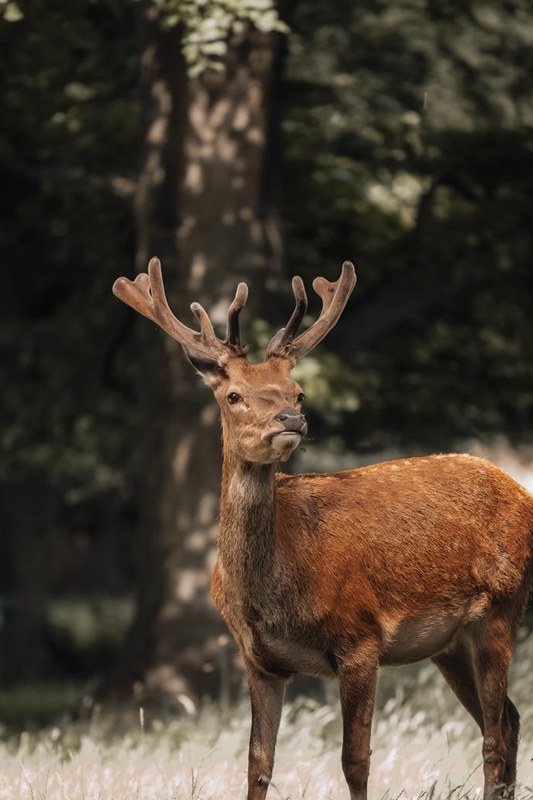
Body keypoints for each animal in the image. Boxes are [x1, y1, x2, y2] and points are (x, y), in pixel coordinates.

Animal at [113, 257, 533, 800]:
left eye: (298, 391)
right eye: (233, 395)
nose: (291, 419)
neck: (273, 596)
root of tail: (521, 492)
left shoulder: (361, 638)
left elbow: (355, 760)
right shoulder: (259, 660)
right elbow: (258, 761)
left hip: (503, 606)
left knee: (495, 735)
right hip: (449, 643)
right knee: (508, 719)